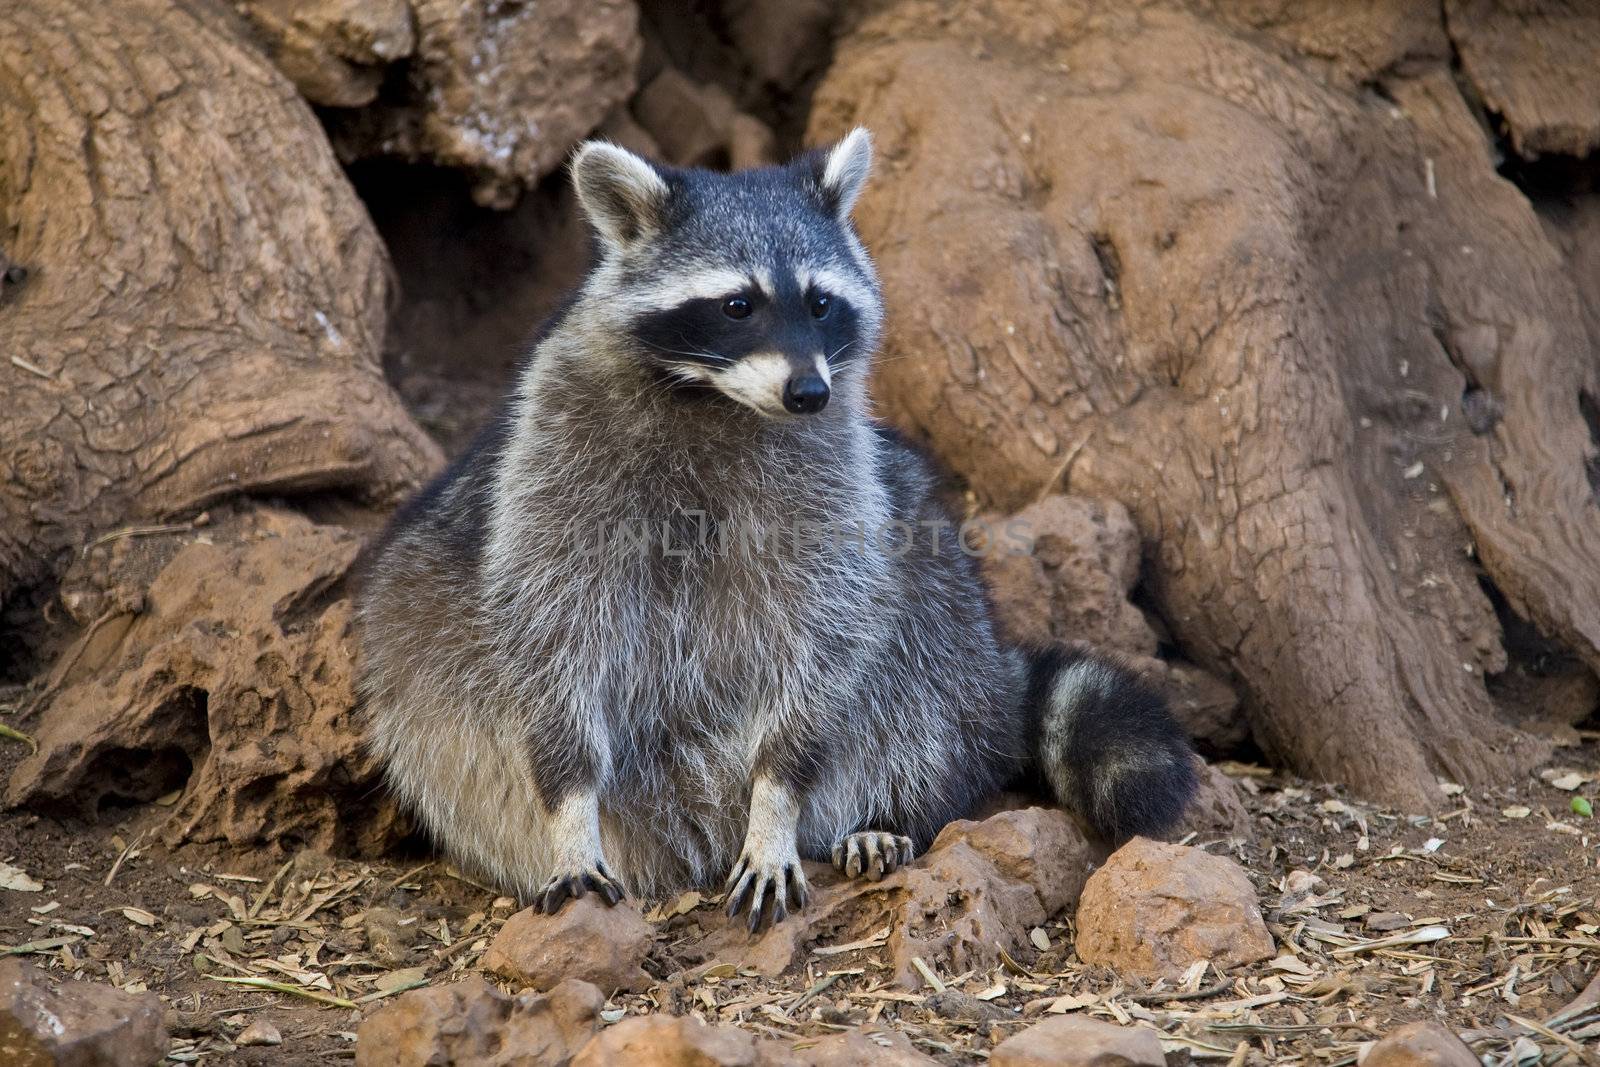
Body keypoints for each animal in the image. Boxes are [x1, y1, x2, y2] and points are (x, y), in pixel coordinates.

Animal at [360, 129, 1190, 927]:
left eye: (821, 303)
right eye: (738, 305)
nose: (809, 391)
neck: (716, 397)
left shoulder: (836, 483)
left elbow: (824, 635)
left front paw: (776, 806)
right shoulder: (554, 462)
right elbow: (554, 635)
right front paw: (571, 810)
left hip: (938, 586)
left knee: (918, 669)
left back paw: (889, 812)